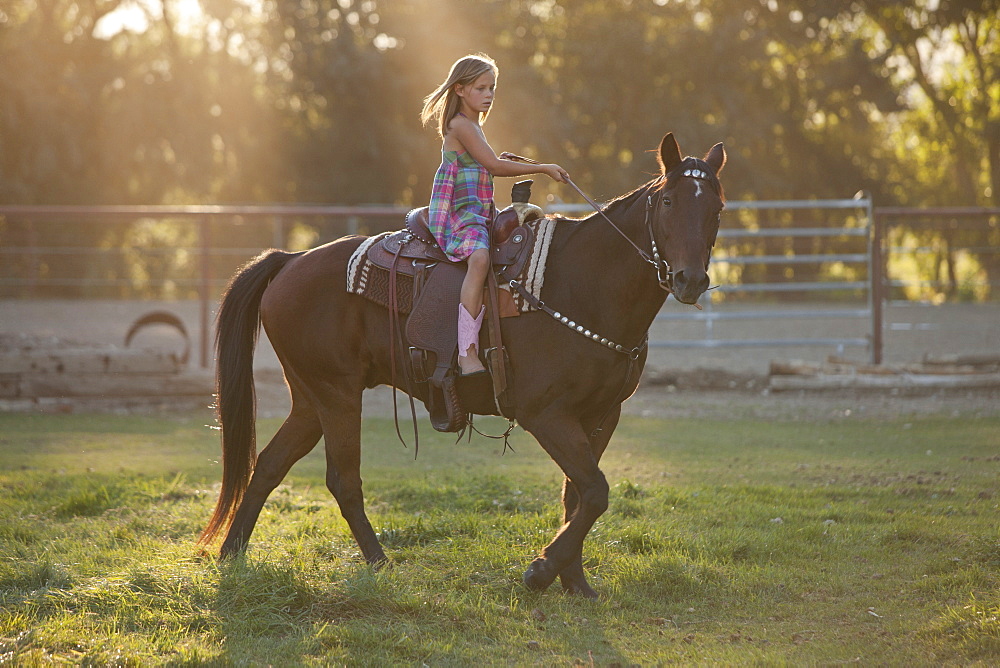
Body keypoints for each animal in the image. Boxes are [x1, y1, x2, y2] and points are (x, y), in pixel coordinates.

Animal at [199, 133, 724, 596]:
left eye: (716, 208)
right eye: (669, 201)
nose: (691, 280)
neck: (580, 285)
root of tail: (290, 260)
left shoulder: (601, 415)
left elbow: (575, 497)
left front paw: (574, 583)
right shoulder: (546, 414)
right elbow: (595, 492)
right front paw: (540, 571)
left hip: (311, 400)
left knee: (268, 465)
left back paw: (232, 555)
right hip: (337, 395)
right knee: (343, 482)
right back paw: (380, 564)